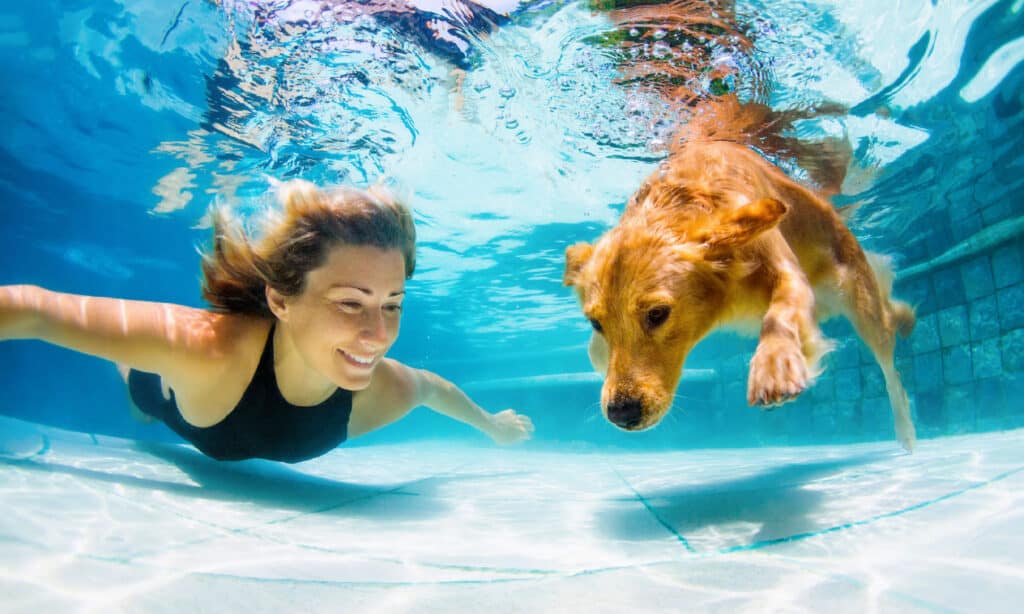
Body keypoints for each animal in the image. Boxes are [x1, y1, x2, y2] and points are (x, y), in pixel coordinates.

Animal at [565, 96, 917, 450]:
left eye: (657, 314)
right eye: (596, 323)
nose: (620, 414)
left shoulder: (783, 267)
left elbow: (781, 310)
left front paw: (774, 365)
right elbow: (595, 351)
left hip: (856, 297)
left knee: (889, 360)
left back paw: (905, 429)